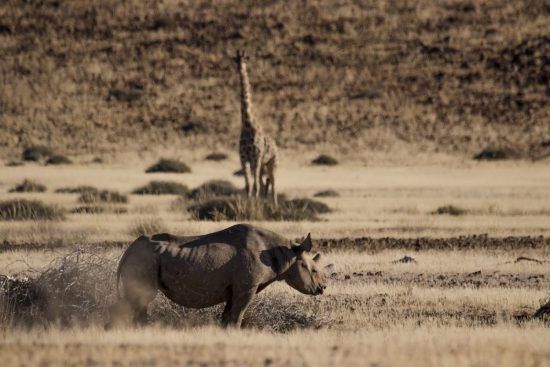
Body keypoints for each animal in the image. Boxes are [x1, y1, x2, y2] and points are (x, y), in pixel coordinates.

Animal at [234, 49, 278, 207]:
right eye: (235, 60)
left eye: (245, 59)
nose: (240, 68)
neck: (247, 125)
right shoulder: (244, 158)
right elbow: (248, 186)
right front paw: (248, 206)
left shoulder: (256, 158)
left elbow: (255, 186)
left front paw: (254, 208)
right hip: (262, 165)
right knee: (265, 183)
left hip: (272, 163)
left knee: (274, 186)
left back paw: (275, 207)